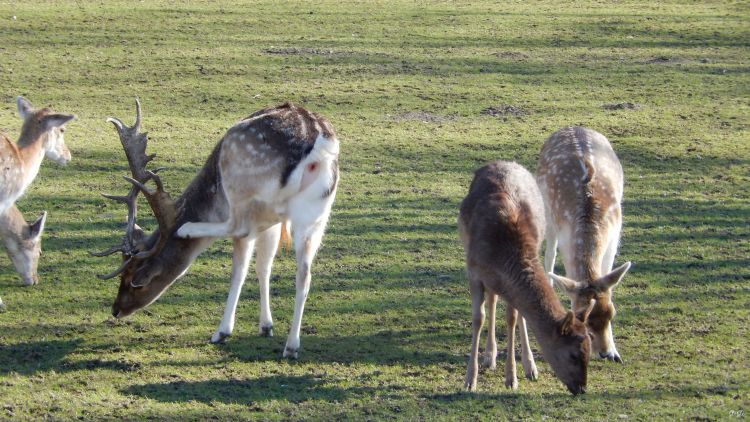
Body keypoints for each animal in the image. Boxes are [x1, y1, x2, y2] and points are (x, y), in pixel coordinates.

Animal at [94, 99, 340, 360]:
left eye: (136, 281)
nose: (116, 309)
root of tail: (318, 146)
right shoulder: (272, 221)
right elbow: (264, 267)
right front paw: (266, 326)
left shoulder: (260, 217)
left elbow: (241, 271)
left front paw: (225, 331)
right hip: (315, 215)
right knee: (304, 274)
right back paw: (292, 346)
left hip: (240, 184)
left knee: (238, 229)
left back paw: (188, 229)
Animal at [462, 161, 596, 396]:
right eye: (573, 354)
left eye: (589, 351)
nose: (581, 388)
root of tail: (502, 162)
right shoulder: (474, 271)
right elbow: (478, 318)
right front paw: (470, 380)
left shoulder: (508, 284)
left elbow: (513, 319)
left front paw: (512, 378)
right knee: (492, 300)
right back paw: (489, 357)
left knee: (505, 306)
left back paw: (528, 366)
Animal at [536, 127, 632, 364]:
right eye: (582, 316)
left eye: (611, 312)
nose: (604, 353)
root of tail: (571, 127)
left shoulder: (614, 238)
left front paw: (616, 351)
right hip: (547, 212)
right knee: (549, 255)